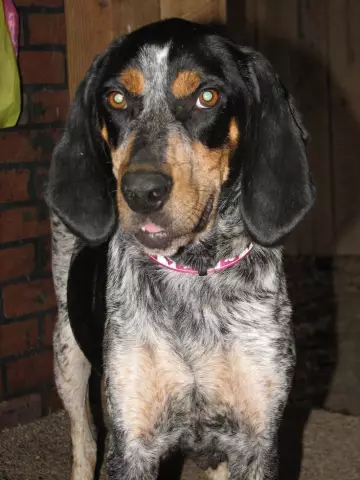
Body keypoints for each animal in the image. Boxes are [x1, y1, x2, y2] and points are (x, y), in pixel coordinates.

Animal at [45, 16, 316, 478]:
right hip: (67, 355)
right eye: (116, 98)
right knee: (83, 440)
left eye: (207, 96)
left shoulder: (257, 440)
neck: (196, 275)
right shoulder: (133, 443)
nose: (140, 192)